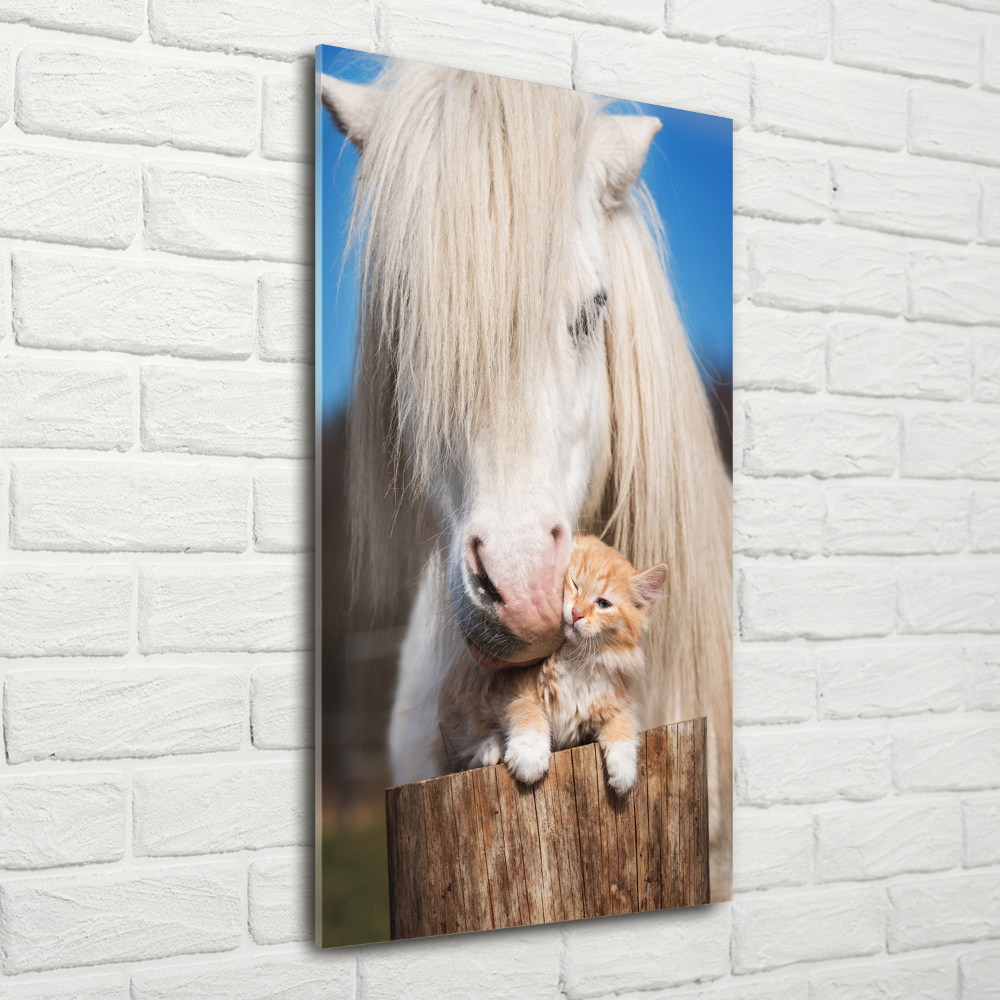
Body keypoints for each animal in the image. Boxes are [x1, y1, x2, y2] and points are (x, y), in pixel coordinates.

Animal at [438, 536, 664, 792]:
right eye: (575, 585)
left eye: (603, 604)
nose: (576, 613)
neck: (575, 657)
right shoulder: (515, 686)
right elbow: (529, 715)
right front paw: (529, 757)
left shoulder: (614, 698)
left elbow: (623, 724)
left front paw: (624, 771)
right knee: (463, 754)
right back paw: (490, 749)